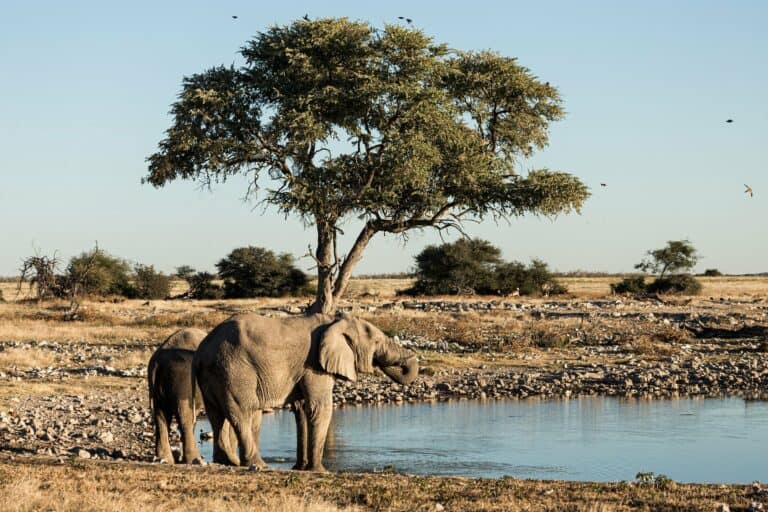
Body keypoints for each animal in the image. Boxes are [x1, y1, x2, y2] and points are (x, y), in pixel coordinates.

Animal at [147, 327, 207, 464]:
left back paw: (165, 459)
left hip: (158, 389)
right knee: (184, 417)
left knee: (161, 416)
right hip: (182, 382)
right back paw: (196, 461)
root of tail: (157, 362)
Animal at [192, 312, 419, 471]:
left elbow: (301, 410)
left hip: (216, 373)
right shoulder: (315, 365)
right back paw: (258, 465)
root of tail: (202, 351)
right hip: (234, 370)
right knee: (244, 413)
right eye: (377, 343)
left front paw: (300, 468)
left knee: (217, 415)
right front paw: (320, 471)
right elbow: (320, 407)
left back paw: (227, 462)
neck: (334, 321)